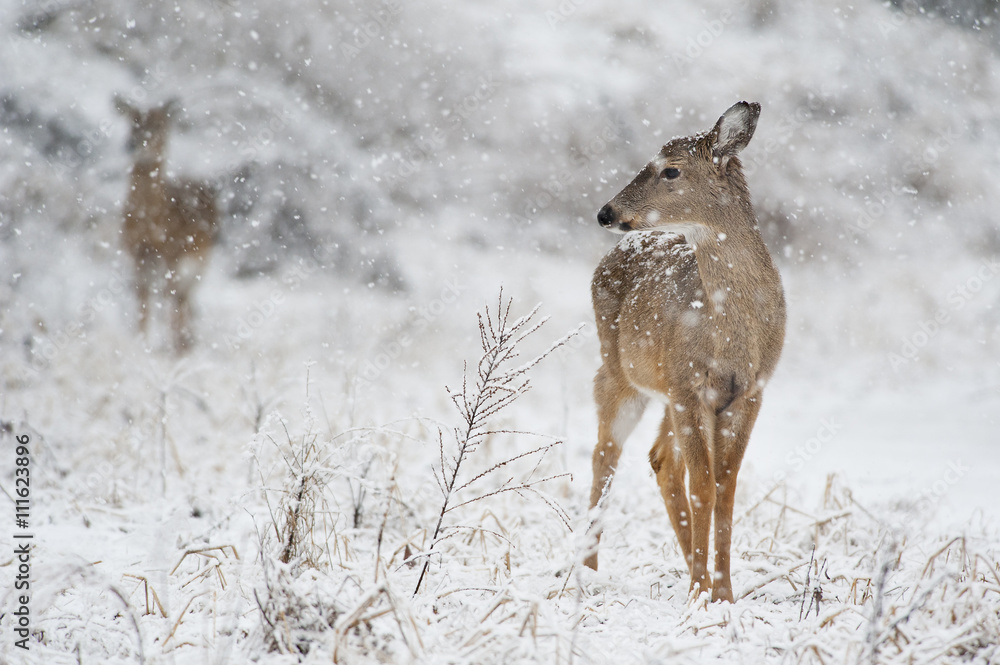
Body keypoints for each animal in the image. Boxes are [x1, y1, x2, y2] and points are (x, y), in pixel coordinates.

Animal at [115, 96, 218, 353]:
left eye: (159, 124)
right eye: (132, 123)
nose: (132, 144)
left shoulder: (171, 253)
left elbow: (166, 299)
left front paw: (167, 348)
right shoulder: (137, 252)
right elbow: (143, 300)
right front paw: (141, 341)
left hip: (198, 263)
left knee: (180, 299)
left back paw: (182, 343)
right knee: (178, 300)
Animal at [584, 102, 786, 603]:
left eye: (670, 170)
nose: (605, 212)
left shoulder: (749, 392)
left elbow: (725, 488)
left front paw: (723, 593)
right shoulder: (689, 386)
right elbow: (704, 489)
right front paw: (701, 593)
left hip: (666, 391)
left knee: (660, 460)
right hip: (620, 371)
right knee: (605, 454)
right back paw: (587, 571)